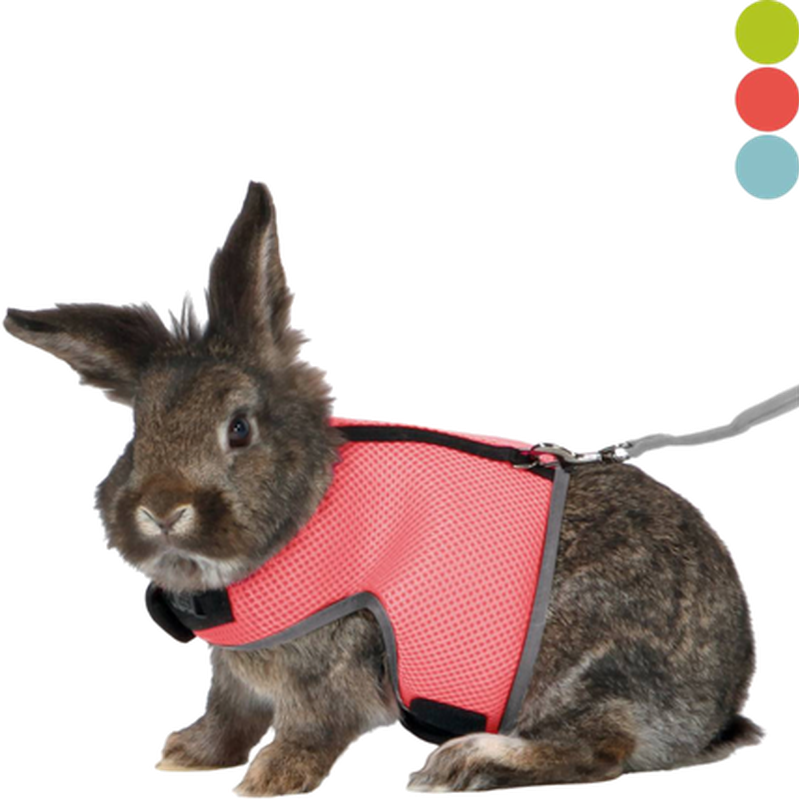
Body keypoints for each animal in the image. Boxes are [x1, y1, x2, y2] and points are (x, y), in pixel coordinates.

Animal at [1, 180, 765, 796]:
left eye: (239, 429)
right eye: (139, 429)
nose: (162, 510)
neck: (306, 513)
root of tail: (723, 692)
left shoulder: (332, 675)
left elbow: (310, 729)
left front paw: (267, 781)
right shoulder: (236, 679)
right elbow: (227, 715)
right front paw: (187, 754)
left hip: (589, 667)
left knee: (601, 747)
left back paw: (462, 765)